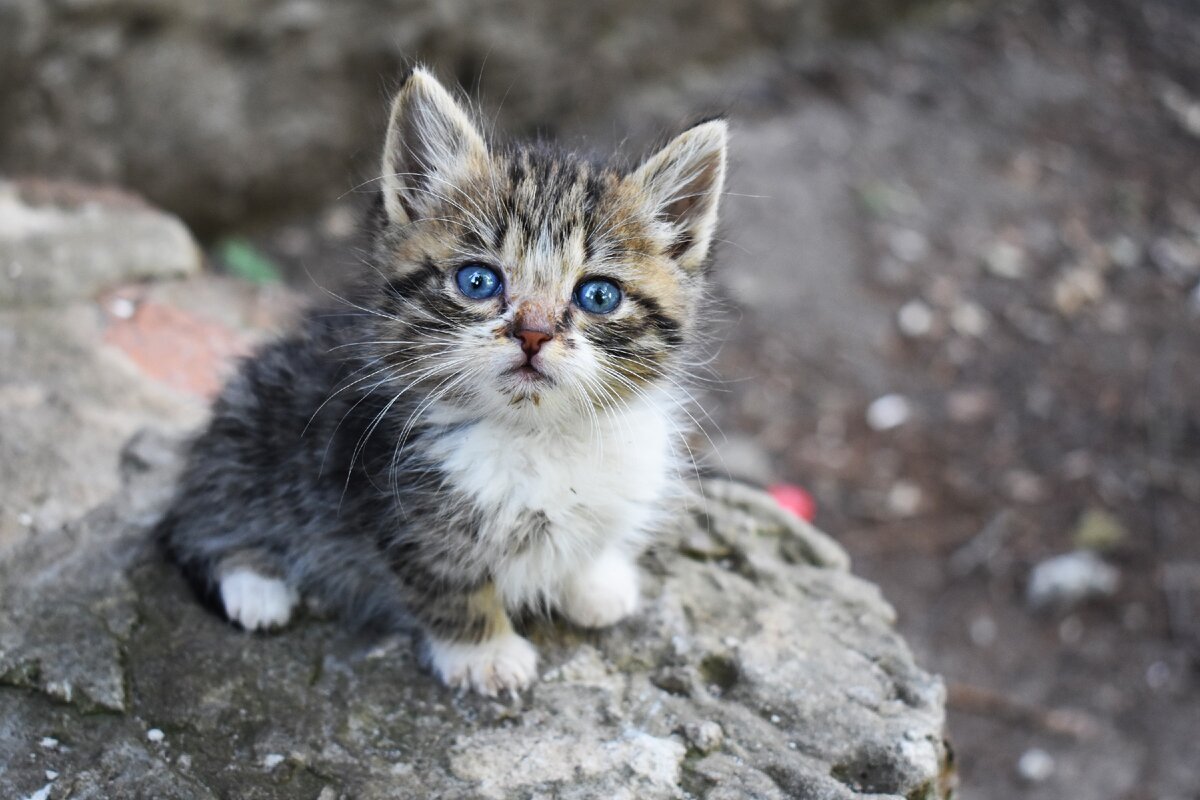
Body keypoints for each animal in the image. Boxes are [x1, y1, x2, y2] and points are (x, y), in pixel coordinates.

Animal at [154, 67, 724, 695]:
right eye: (478, 281)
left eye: (598, 295)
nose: (533, 333)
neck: (538, 435)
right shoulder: (402, 501)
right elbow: (449, 583)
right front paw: (485, 653)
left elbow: (590, 539)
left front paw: (596, 583)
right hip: (248, 436)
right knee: (191, 523)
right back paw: (256, 589)